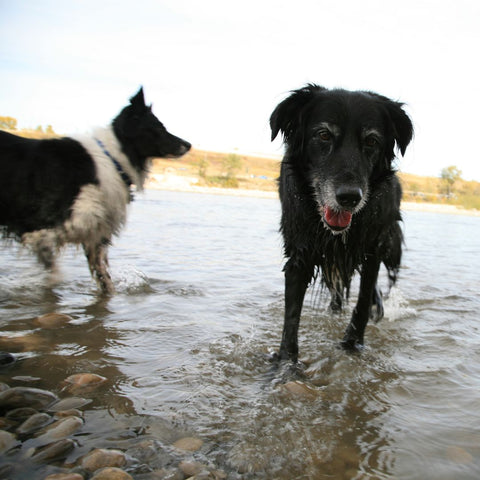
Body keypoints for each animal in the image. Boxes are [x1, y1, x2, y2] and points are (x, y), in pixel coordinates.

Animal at [0, 88, 191, 294]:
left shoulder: (95, 237)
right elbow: (54, 273)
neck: (113, 159)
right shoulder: (39, 230)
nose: (188, 144)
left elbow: (105, 279)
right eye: (159, 127)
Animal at [270, 83, 412, 360]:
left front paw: (352, 345)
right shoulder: (300, 252)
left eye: (371, 141)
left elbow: (363, 300)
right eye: (324, 135)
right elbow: (291, 317)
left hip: (390, 246)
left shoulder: (373, 248)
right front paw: (286, 363)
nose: (349, 198)